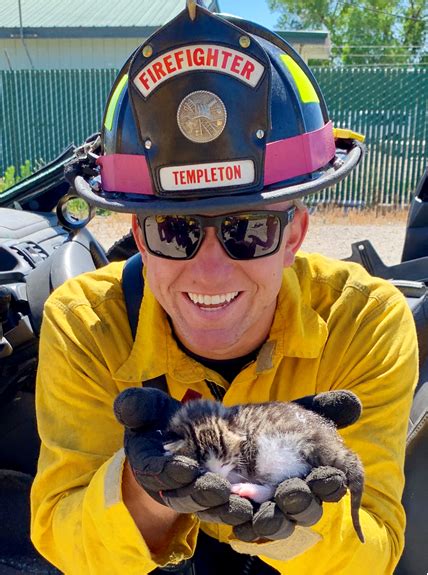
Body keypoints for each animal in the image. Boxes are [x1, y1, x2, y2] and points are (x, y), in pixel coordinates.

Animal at [164, 398, 364, 544]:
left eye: (224, 460)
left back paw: (247, 489)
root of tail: (328, 442)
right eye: (203, 466)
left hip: (276, 452)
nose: (219, 477)